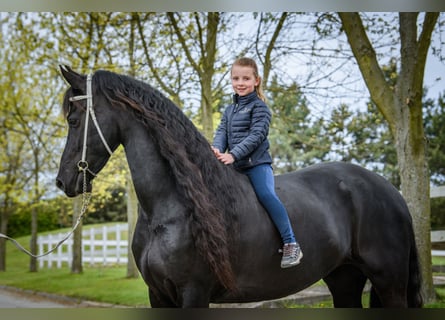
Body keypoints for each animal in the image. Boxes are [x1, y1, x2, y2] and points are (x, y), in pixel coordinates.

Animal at [54, 65, 420, 308]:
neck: (173, 209)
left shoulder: (193, 294)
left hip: (390, 283)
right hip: (345, 279)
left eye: (73, 119)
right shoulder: (158, 295)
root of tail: (391, 192)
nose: (63, 181)